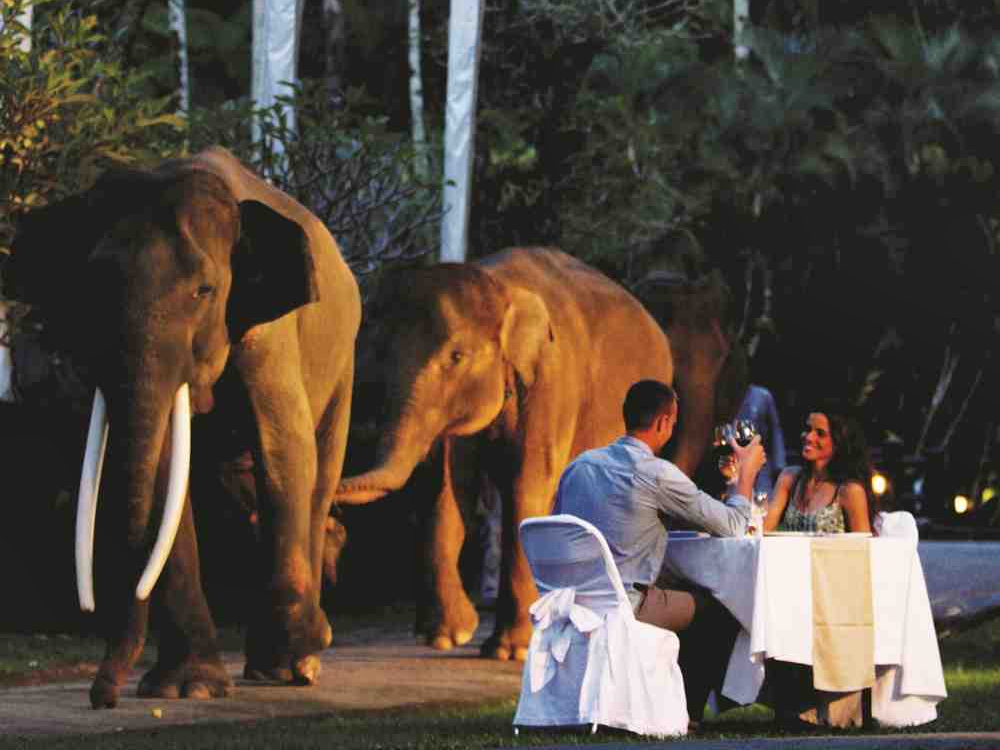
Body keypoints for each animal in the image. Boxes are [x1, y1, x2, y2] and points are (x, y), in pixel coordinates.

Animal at [4, 147, 361, 708]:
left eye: (204, 291)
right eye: (90, 291)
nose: (101, 697)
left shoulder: (269, 332)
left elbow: (283, 447)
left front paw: (295, 658)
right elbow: (167, 472)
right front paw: (187, 688)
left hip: (344, 358)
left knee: (318, 479)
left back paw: (295, 664)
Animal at [336, 246, 718, 660]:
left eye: (456, 356)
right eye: (382, 355)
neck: (499, 286)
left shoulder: (551, 381)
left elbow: (526, 485)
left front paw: (509, 651)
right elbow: (449, 490)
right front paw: (448, 636)